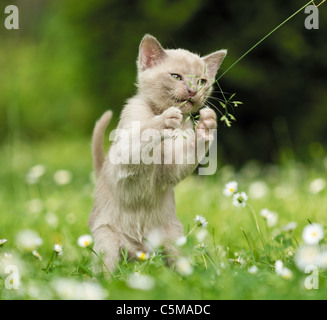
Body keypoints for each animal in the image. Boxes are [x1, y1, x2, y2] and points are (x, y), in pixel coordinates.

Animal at [88, 33, 227, 272]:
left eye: (202, 81)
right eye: (176, 76)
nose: (193, 91)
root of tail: (140, 251)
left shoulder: (170, 169)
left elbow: (183, 158)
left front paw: (207, 124)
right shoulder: (123, 159)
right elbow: (143, 134)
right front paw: (166, 119)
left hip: (174, 240)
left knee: (178, 265)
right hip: (107, 240)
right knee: (105, 269)